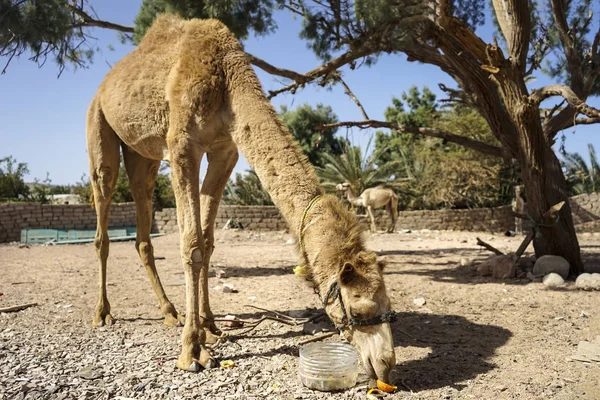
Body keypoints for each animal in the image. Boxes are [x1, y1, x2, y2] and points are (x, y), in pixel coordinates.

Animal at [83, 14, 394, 382]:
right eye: (358, 308)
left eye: (389, 304)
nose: (386, 364)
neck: (226, 79)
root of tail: (103, 86)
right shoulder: (182, 144)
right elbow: (192, 244)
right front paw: (192, 351)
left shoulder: (225, 150)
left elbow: (207, 241)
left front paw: (209, 326)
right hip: (98, 126)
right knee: (102, 213)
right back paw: (103, 313)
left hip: (142, 155)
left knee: (143, 218)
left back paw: (170, 312)